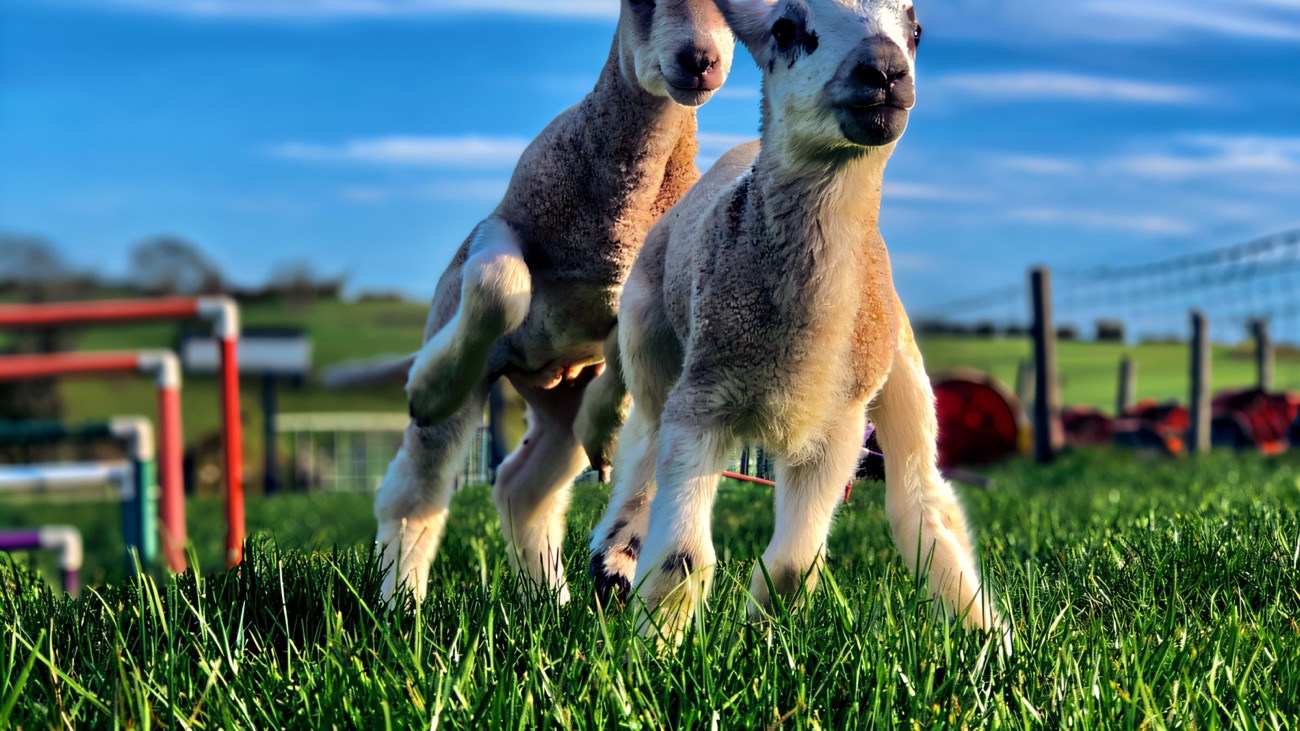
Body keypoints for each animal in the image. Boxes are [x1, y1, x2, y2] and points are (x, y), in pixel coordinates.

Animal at [371, 0, 736, 603]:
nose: (699, 59)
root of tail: (536, 373)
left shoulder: (643, 288)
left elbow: (625, 363)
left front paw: (607, 435)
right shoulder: (504, 222)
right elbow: (499, 282)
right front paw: (430, 384)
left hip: (559, 405)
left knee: (525, 488)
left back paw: (559, 595)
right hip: (473, 351)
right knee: (414, 490)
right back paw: (401, 602)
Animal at [587, 0, 1007, 647]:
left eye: (915, 31)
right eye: (786, 29)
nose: (885, 71)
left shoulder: (837, 428)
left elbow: (791, 565)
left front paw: (762, 632)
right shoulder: (702, 402)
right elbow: (684, 554)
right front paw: (658, 645)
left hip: (898, 372)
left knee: (923, 498)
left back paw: (982, 634)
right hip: (650, 340)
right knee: (641, 447)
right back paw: (613, 560)